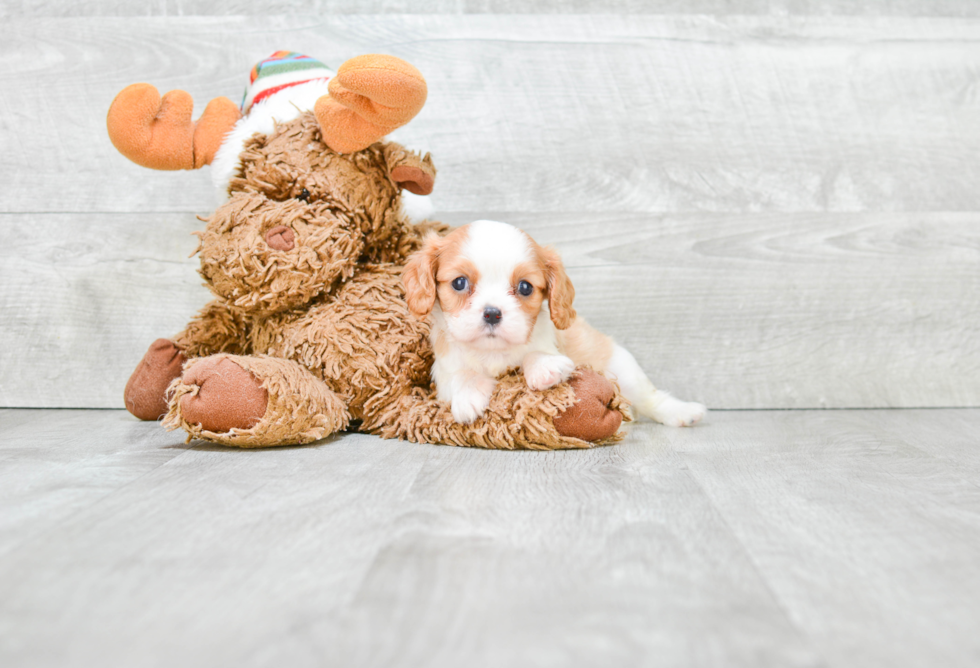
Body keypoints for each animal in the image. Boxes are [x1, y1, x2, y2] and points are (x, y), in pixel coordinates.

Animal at [402, 222, 708, 426]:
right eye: (459, 283)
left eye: (525, 287)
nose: (492, 313)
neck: (494, 352)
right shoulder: (443, 373)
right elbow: (461, 375)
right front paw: (468, 397)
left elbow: (538, 354)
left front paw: (544, 368)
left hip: (622, 369)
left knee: (650, 398)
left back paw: (682, 412)